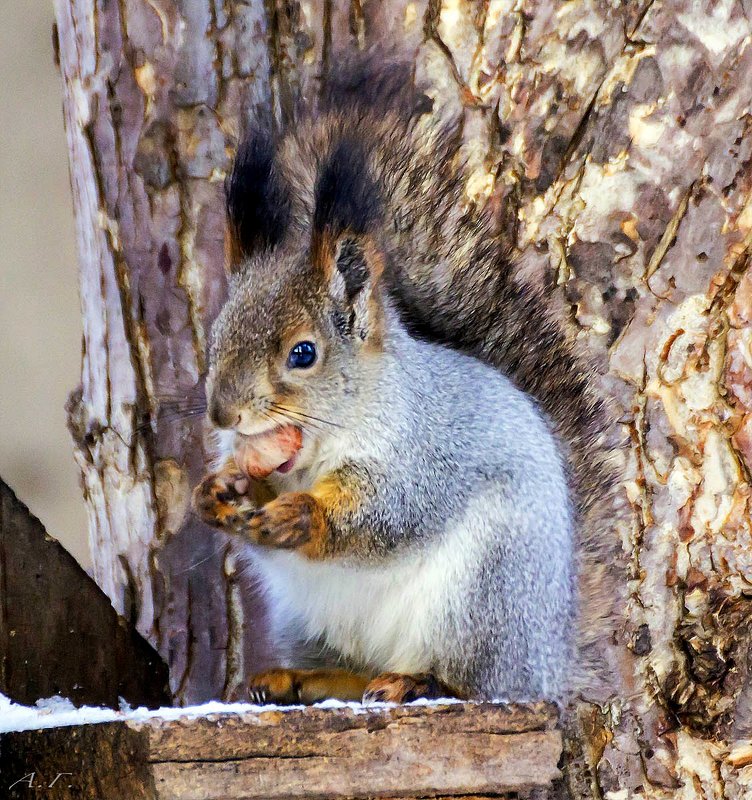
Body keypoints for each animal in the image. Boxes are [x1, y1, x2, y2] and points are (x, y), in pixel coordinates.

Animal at [191, 57, 624, 708]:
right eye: (215, 338)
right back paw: (302, 679)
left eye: (303, 353)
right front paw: (218, 493)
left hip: (481, 596)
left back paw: (419, 680)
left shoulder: (429, 454)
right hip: (310, 621)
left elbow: (393, 510)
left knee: (471, 682)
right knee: (355, 671)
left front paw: (303, 517)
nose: (223, 416)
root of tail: (551, 664)